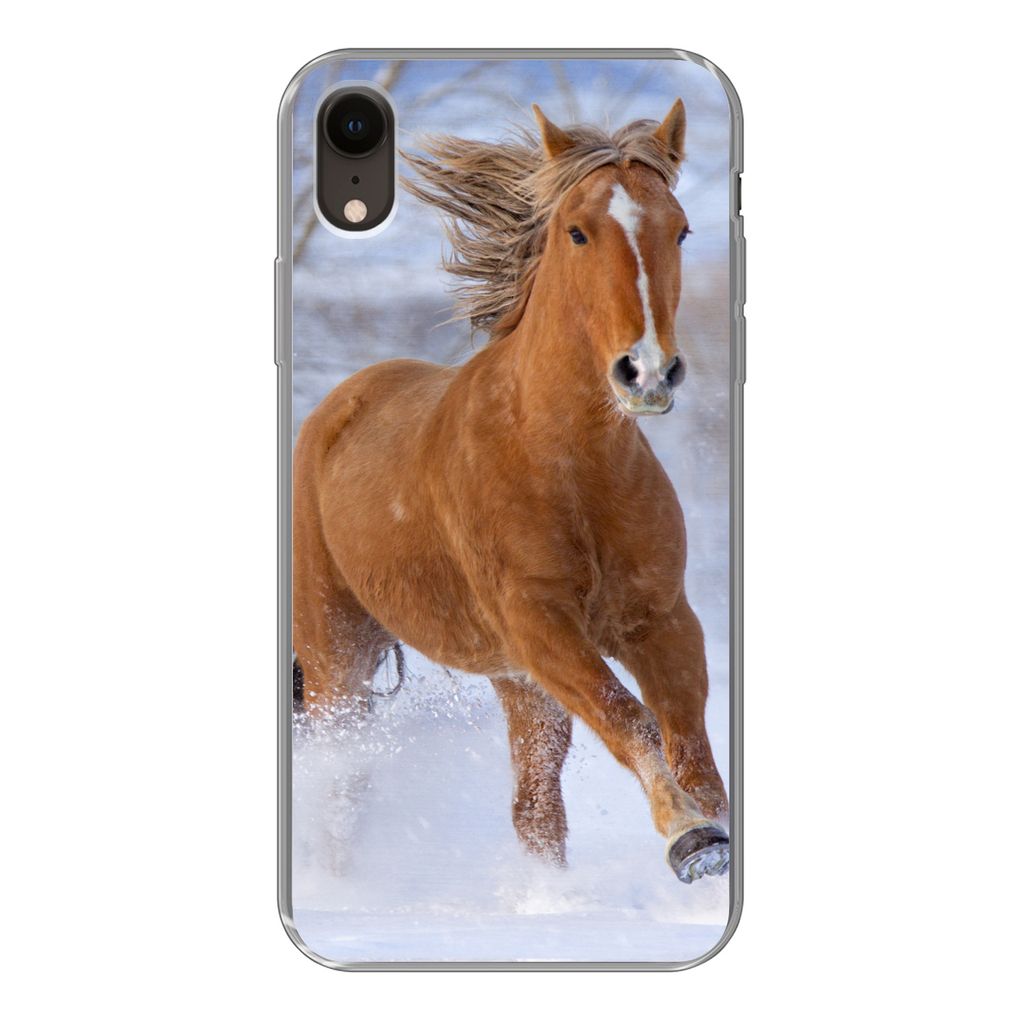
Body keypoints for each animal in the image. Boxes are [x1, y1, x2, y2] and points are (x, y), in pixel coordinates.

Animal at [292, 99, 730, 883]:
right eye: (577, 231)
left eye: (680, 227)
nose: (647, 372)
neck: (568, 465)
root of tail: (336, 407)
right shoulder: (539, 623)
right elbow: (633, 721)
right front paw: (691, 837)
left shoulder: (660, 619)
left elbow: (692, 748)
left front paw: (711, 844)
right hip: (336, 654)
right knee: (341, 784)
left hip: (517, 684)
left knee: (535, 809)